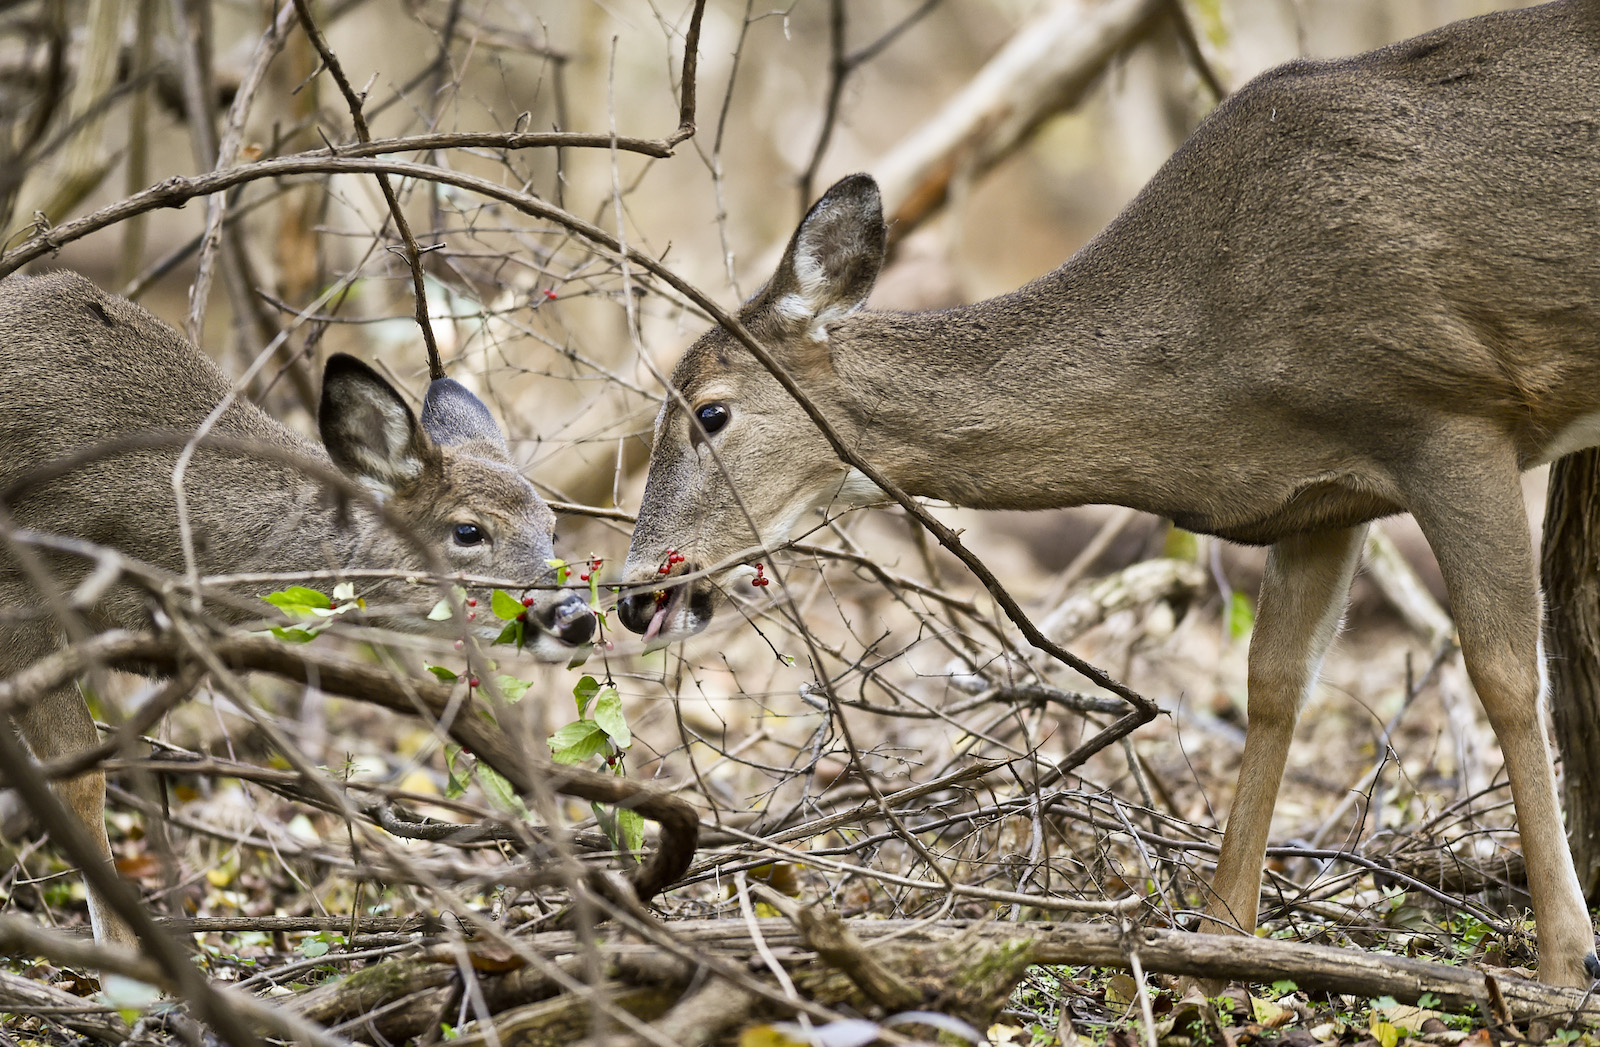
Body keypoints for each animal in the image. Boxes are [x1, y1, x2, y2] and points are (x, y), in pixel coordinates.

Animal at [0, 270, 595, 954]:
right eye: (468, 531)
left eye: (552, 526)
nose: (577, 617)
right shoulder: (19, 598)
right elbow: (78, 780)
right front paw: (129, 962)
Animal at [617, 0, 1600, 986]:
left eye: (709, 411)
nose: (632, 594)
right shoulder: (1322, 494)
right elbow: (1275, 682)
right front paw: (1221, 937)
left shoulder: (1450, 412)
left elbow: (1507, 673)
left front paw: (1565, 959)